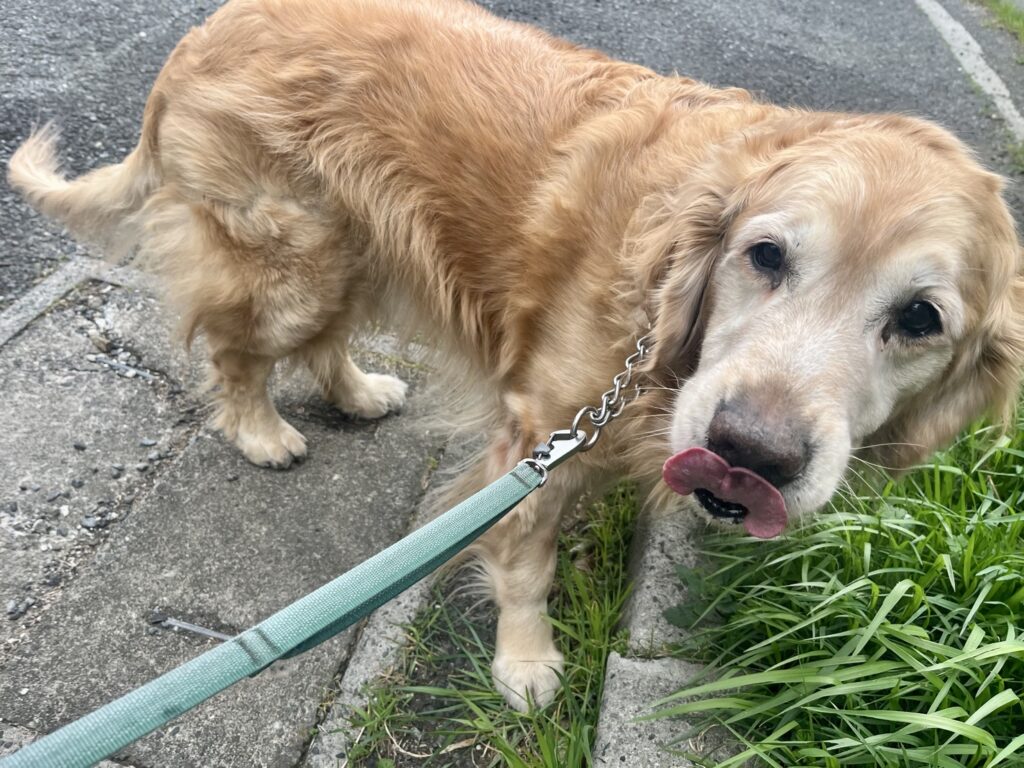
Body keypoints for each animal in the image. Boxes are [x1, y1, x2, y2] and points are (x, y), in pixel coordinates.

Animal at [9, 0, 1024, 711]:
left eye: (920, 318)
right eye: (765, 255)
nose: (749, 453)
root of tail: (200, 33)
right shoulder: (540, 439)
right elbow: (526, 567)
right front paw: (526, 663)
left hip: (355, 251)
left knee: (324, 342)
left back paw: (360, 392)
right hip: (291, 261)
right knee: (235, 349)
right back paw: (260, 431)